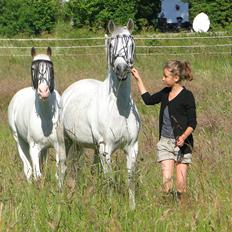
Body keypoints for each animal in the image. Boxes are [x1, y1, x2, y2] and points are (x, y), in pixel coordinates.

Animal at [8, 47, 66, 185]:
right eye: (33, 68)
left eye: (51, 68)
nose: (43, 91)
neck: (46, 118)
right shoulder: (34, 147)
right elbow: (37, 175)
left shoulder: (58, 146)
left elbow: (58, 174)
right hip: (19, 140)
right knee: (28, 169)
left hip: (44, 148)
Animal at [61, 19, 140, 208]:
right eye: (111, 44)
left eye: (131, 43)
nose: (121, 69)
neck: (119, 110)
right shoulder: (106, 148)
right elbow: (109, 180)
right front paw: (110, 206)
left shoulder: (132, 147)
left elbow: (130, 179)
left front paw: (132, 208)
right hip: (66, 141)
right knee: (64, 168)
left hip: (88, 146)